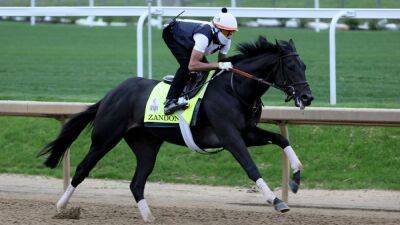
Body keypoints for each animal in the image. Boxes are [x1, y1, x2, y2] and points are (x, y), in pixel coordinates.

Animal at [40, 36, 314, 221]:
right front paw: (276, 200)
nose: (307, 97)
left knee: (137, 183)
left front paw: (296, 178)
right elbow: (250, 166)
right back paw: (61, 207)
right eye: (291, 67)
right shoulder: (230, 137)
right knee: (82, 169)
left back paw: (149, 217)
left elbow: (281, 139)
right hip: (105, 137)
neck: (234, 89)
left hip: (146, 145)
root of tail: (112, 93)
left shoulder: (247, 132)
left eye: (304, 66)